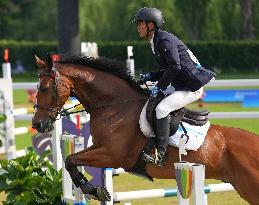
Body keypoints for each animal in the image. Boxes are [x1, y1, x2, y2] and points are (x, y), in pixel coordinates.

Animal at [32, 54, 259, 205]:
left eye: (44, 88)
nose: (37, 124)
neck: (115, 106)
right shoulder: (99, 148)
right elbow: (71, 159)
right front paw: (96, 190)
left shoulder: (114, 156)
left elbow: (71, 160)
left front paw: (94, 189)